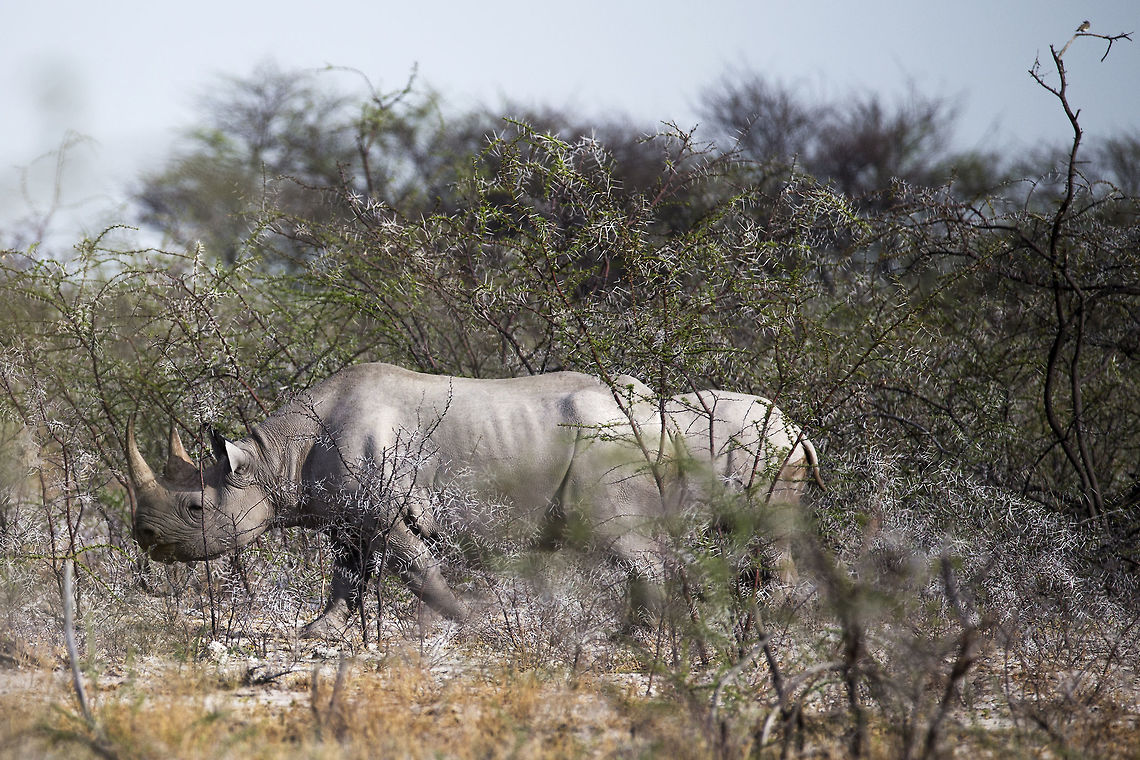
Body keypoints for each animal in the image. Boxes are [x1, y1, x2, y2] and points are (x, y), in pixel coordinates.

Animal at [127, 362, 820, 638]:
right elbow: (348, 574)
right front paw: (318, 630)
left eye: (194, 509)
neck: (277, 457)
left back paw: (643, 639)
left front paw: (467, 620)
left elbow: (415, 568)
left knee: (627, 541)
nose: (145, 539)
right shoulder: (350, 516)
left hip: (621, 448)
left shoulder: (384, 511)